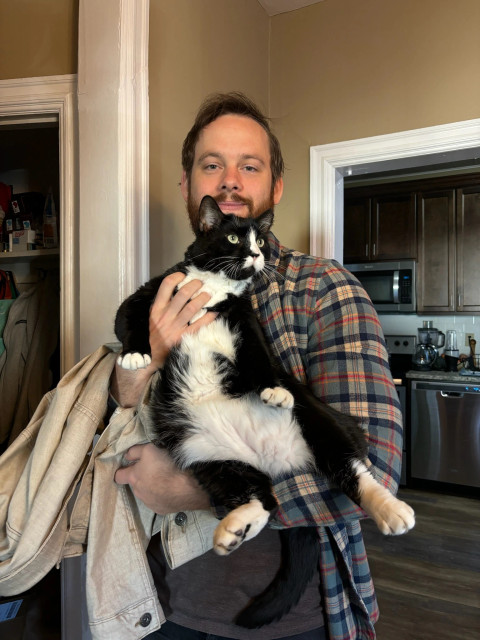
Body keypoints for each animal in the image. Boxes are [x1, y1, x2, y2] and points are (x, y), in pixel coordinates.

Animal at [114, 198, 414, 628]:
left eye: (261, 241)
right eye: (234, 238)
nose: (257, 254)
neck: (215, 284)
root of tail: (276, 458)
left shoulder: (246, 319)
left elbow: (259, 356)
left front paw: (272, 389)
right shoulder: (153, 292)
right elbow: (128, 317)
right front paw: (136, 354)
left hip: (317, 420)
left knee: (351, 468)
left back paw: (391, 510)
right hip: (209, 456)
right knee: (264, 498)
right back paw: (234, 529)